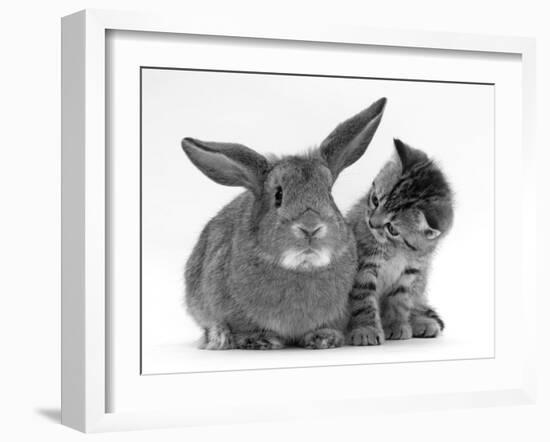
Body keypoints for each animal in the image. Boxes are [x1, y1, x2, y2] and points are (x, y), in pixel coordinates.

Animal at [181, 96, 388, 348]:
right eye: (278, 195)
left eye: (329, 193)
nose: (310, 228)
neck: (302, 268)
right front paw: (260, 340)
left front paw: (324, 338)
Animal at [348, 138, 454, 346]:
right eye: (375, 200)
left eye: (392, 229)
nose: (371, 223)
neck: (397, 250)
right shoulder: (364, 265)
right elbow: (363, 298)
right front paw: (366, 330)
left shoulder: (412, 272)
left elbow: (400, 301)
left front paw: (396, 326)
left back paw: (422, 321)